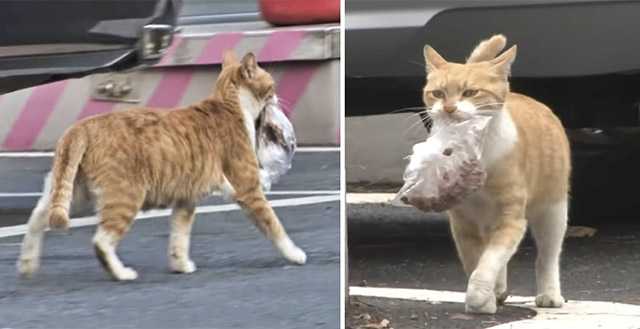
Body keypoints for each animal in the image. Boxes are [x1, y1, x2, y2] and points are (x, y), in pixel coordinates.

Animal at [19, 50, 308, 280]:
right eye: (271, 84)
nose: (278, 96)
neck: (230, 105)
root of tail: (80, 127)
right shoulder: (248, 189)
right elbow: (274, 225)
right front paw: (294, 254)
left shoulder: (185, 200)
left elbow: (179, 237)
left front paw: (180, 265)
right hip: (125, 196)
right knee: (101, 241)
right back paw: (121, 273)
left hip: (72, 194)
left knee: (36, 220)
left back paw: (27, 265)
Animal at [424, 36, 568, 312]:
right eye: (437, 93)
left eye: (470, 92)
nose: (448, 108)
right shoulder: (463, 223)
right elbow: (475, 261)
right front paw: (486, 298)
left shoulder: (511, 218)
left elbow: (490, 260)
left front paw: (479, 295)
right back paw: (499, 290)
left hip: (553, 210)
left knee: (547, 256)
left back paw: (549, 294)